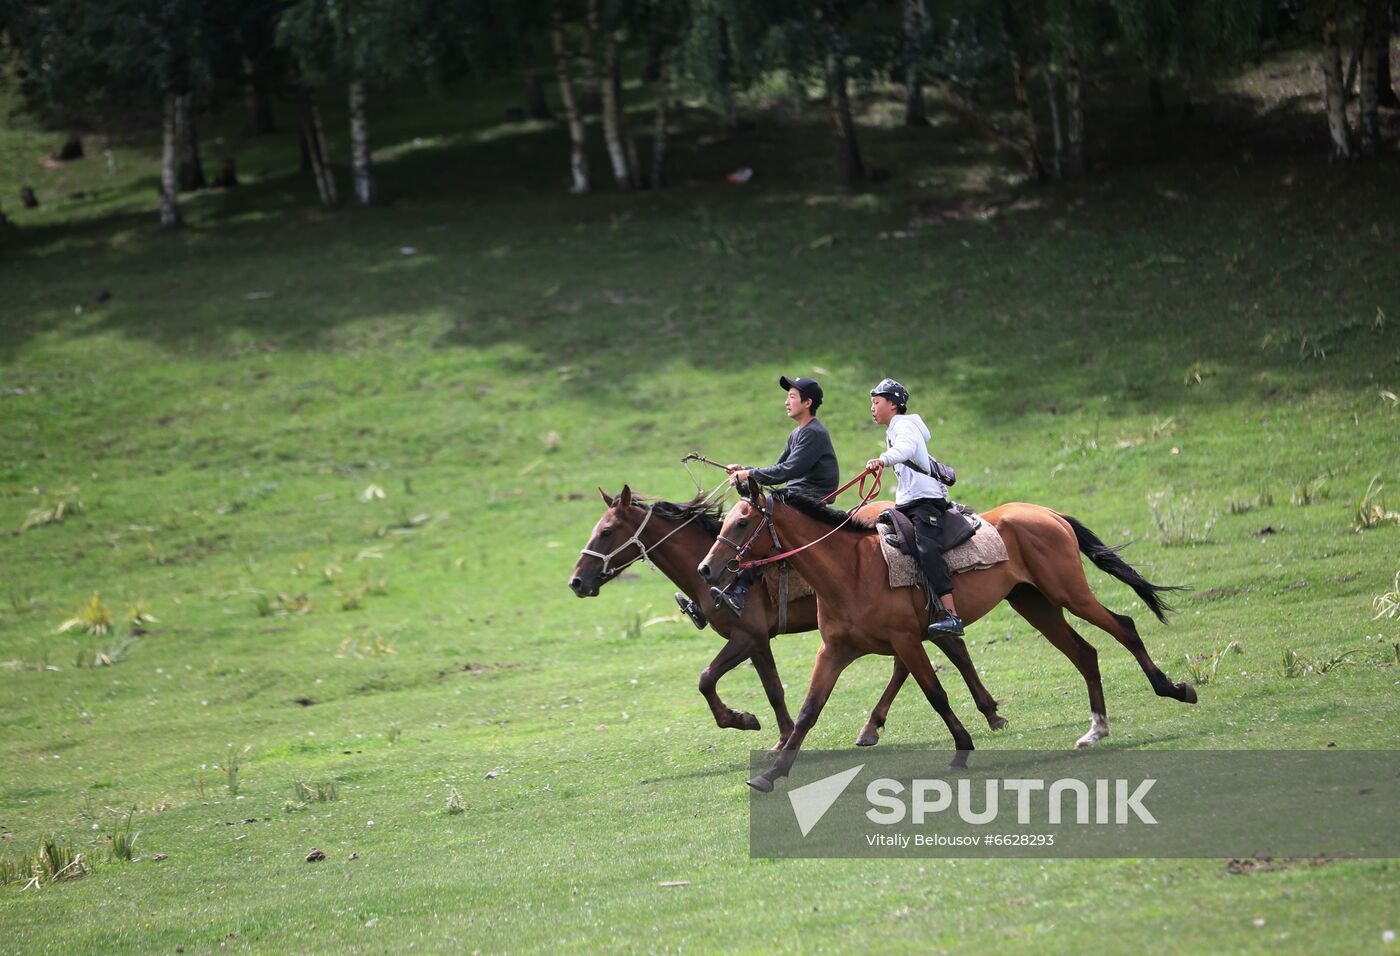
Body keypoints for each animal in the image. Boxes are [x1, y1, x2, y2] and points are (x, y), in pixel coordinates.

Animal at [568, 489, 974, 750]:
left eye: (606, 532)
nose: (576, 582)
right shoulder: (758, 642)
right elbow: (773, 689)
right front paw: (784, 736)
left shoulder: (746, 637)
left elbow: (706, 679)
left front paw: (741, 719)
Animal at [697, 487, 1192, 795]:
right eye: (727, 521)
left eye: (742, 524)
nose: (706, 569)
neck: (850, 570)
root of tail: (1047, 513)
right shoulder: (834, 651)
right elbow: (807, 712)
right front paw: (772, 772)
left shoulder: (907, 642)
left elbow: (935, 695)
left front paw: (962, 749)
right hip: (1035, 605)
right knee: (1085, 652)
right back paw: (1096, 729)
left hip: (1069, 594)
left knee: (1124, 626)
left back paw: (1173, 689)